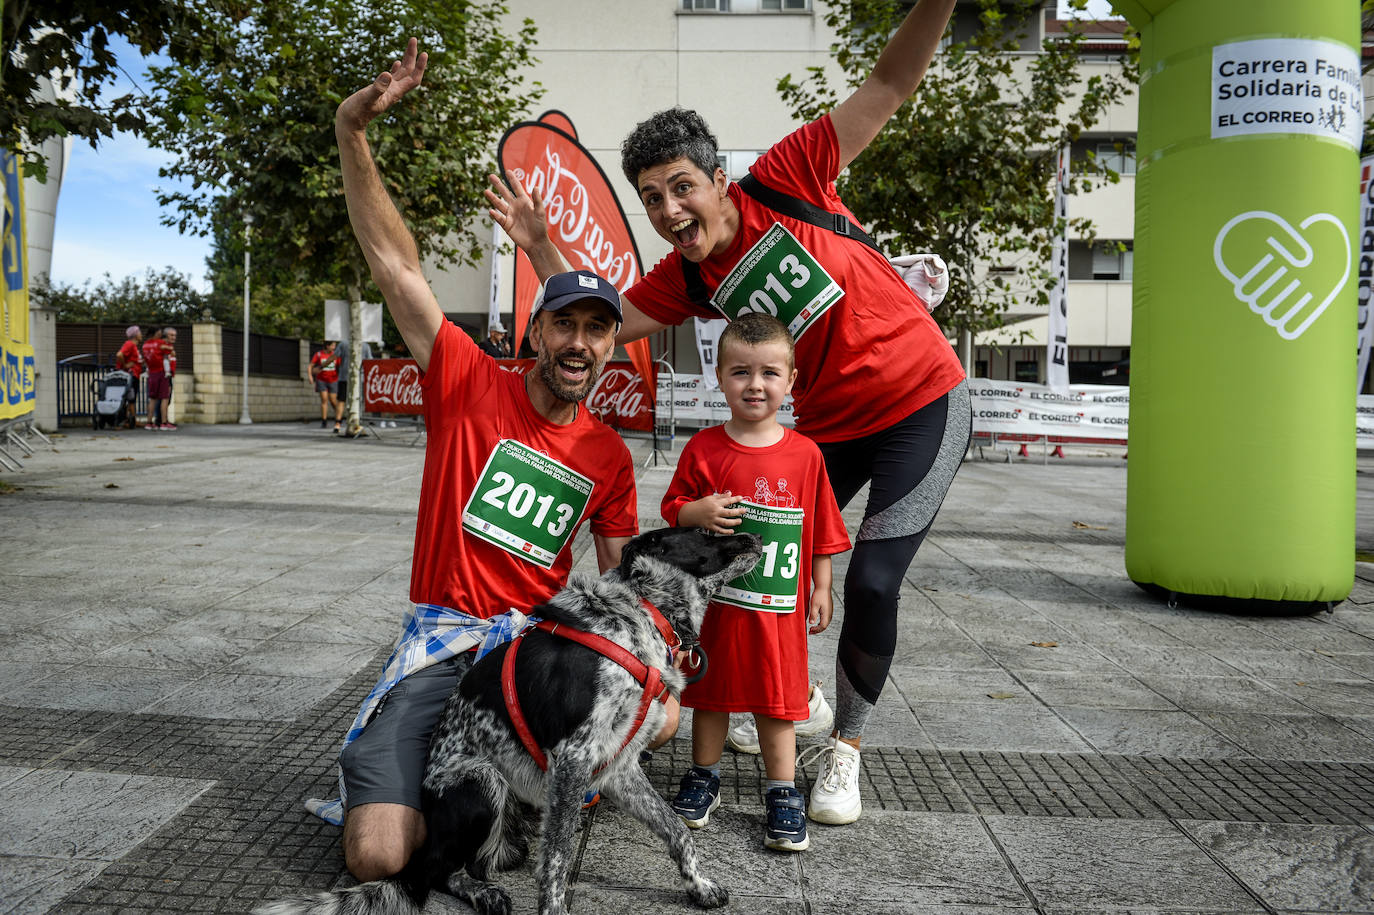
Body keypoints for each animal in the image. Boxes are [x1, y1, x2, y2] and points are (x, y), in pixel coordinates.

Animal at [252, 524, 758, 912]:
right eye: (705, 532)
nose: (754, 535)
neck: (644, 613)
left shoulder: (618, 765)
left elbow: (677, 831)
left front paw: (698, 886)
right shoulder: (573, 760)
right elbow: (557, 861)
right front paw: (554, 909)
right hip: (481, 782)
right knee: (438, 871)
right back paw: (481, 893)